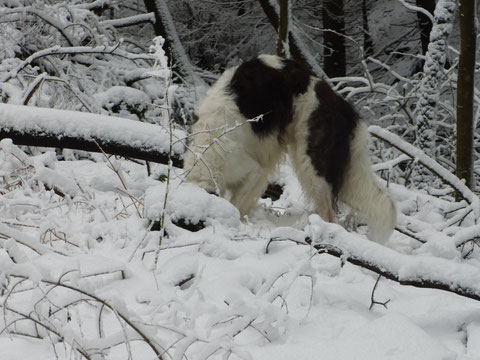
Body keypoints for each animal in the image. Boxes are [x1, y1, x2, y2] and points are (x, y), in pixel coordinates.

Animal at [182, 54, 396, 243]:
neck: (208, 149)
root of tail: (343, 106)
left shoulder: (252, 170)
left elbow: (235, 204)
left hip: (312, 161)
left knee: (329, 214)